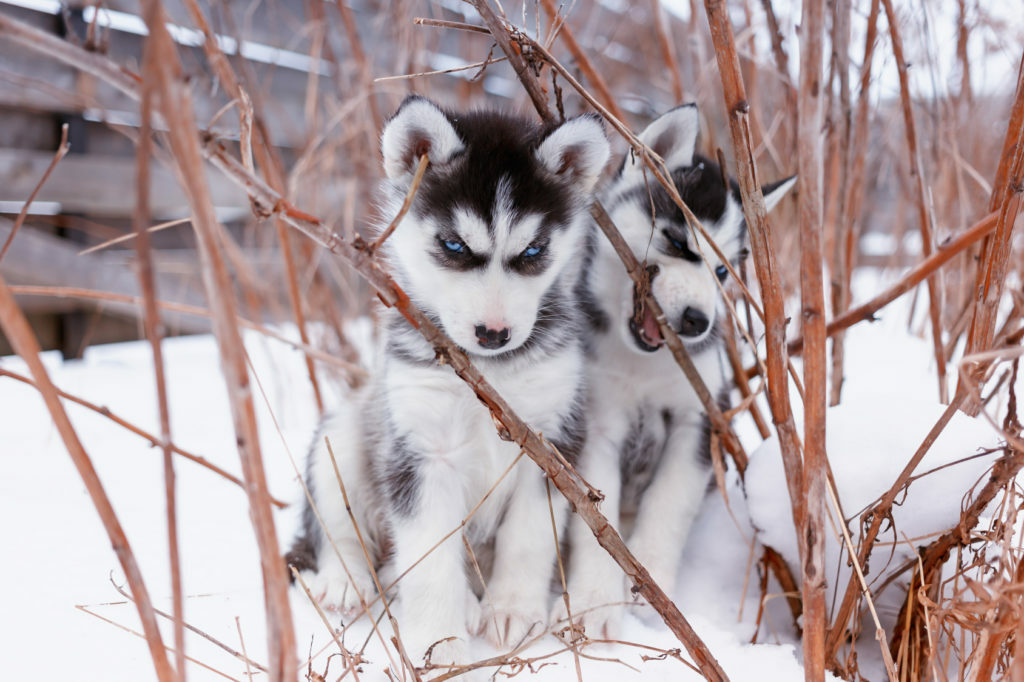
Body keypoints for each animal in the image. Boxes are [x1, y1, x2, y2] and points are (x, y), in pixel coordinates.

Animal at [284, 95, 610, 667]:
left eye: (533, 251)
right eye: (455, 246)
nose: (494, 334)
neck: (491, 376)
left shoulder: (551, 445)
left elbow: (530, 537)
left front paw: (513, 609)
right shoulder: (419, 450)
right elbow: (430, 554)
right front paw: (439, 641)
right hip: (341, 436)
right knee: (336, 525)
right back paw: (346, 580)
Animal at [565, 103, 794, 634]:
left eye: (723, 271)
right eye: (673, 241)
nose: (696, 322)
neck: (644, 365)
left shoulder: (701, 421)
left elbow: (668, 504)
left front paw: (651, 590)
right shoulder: (599, 425)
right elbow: (596, 519)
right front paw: (594, 600)